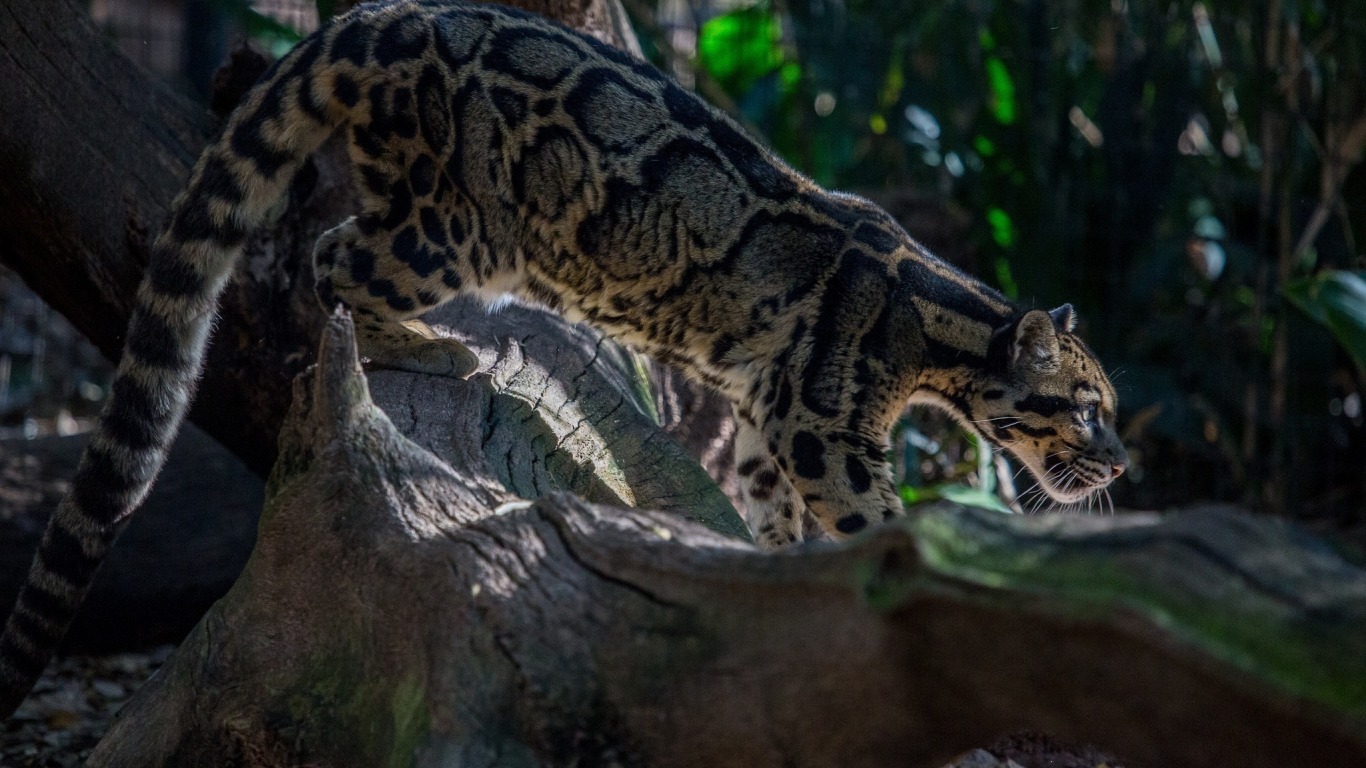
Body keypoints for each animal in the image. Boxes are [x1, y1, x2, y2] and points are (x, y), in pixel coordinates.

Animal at [0, 0, 1125, 710]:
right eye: (1084, 404)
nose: (1119, 461)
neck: (936, 327)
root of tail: (383, 15)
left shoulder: (767, 416)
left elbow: (769, 509)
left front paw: (777, 576)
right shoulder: (823, 427)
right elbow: (870, 518)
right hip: (452, 229)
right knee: (332, 257)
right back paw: (436, 346)